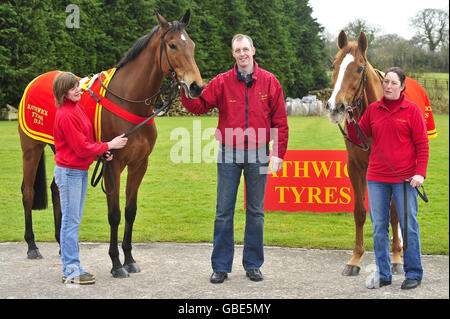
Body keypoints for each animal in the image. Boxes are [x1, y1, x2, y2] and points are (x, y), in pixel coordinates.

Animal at [18, 10, 204, 278]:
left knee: (55, 189)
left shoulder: (139, 165)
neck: (130, 102)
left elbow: (130, 211)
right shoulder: (112, 164)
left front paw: (129, 259)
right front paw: (116, 263)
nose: (196, 86)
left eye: (192, 45)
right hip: (31, 149)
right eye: (172, 45)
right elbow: (114, 214)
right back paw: (32, 245)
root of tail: (37, 80)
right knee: (28, 192)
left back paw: (62, 245)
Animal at [324, 33, 404, 278]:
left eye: (359, 68)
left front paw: (396, 257)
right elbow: (360, 212)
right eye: (334, 65)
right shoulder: (356, 168)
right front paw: (355, 258)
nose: (335, 106)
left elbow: (394, 213)